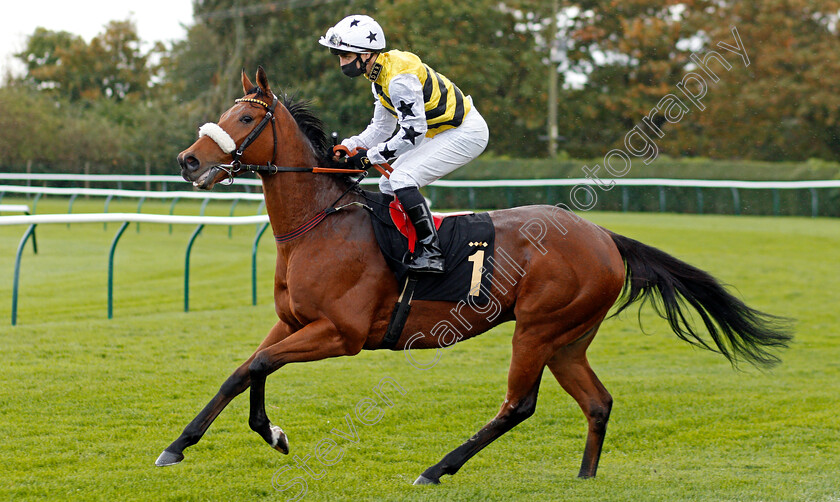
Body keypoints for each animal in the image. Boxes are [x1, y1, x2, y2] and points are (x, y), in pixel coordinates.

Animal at [159, 68, 796, 484]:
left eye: (245, 116)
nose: (189, 160)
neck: (320, 223)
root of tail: (603, 236)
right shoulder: (293, 321)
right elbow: (245, 370)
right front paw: (191, 444)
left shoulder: (341, 333)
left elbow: (260, 365)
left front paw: (256, 435)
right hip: (568, 340)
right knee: (597, 402)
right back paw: (585, 477)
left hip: (537, 329)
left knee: (519, 405)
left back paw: (437, 469)